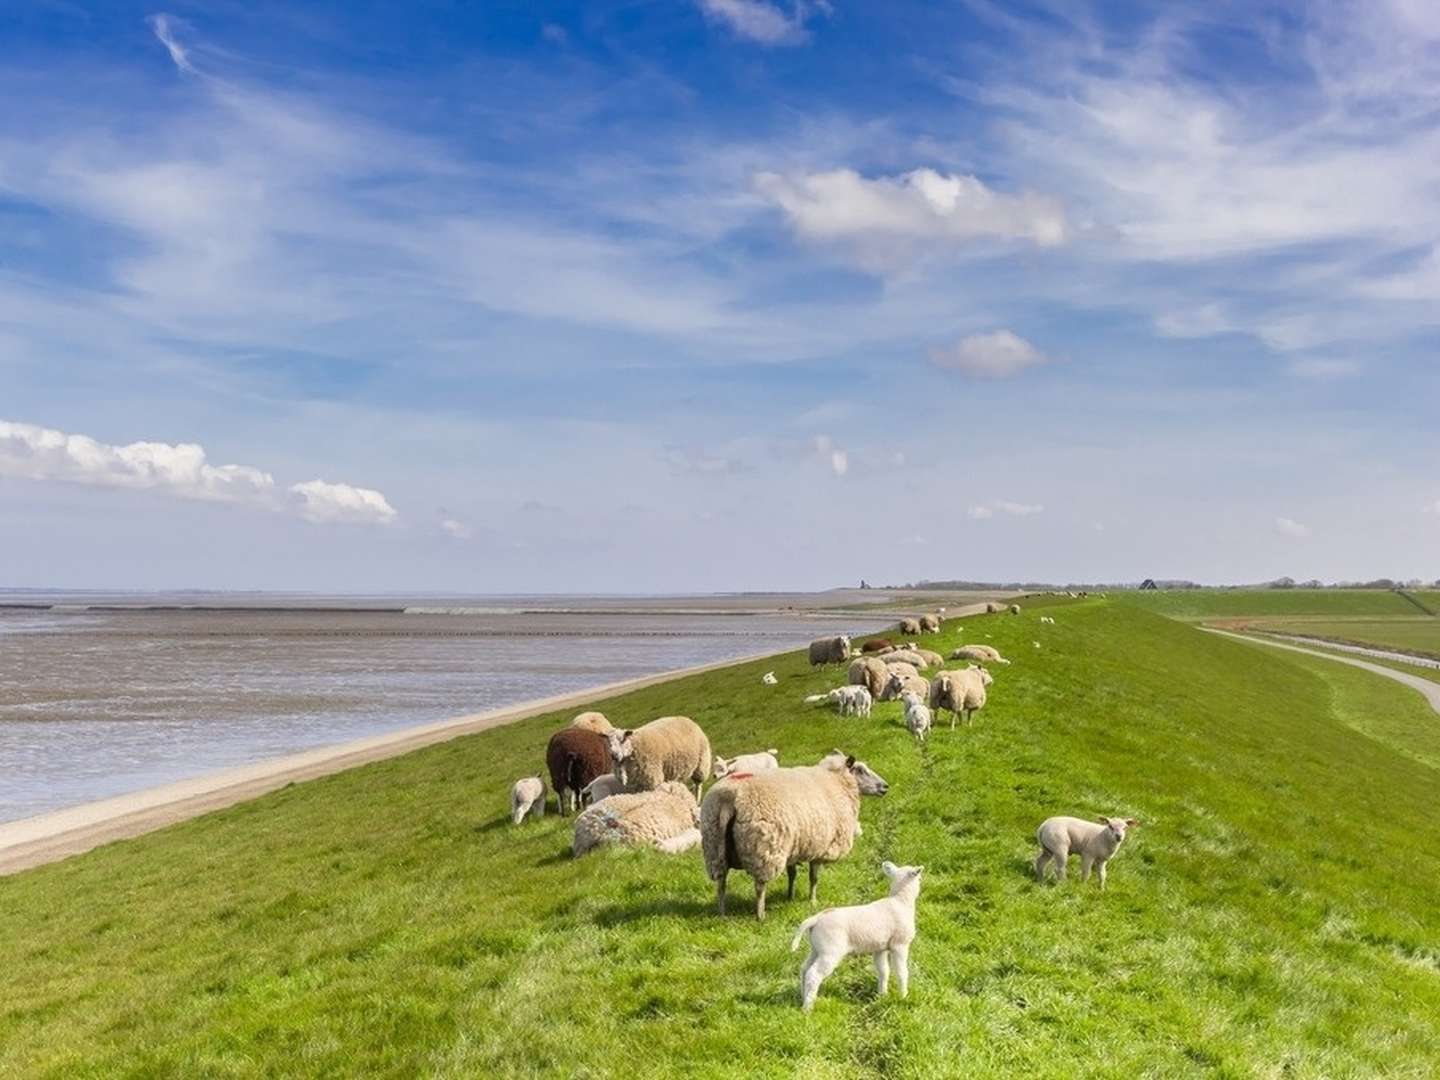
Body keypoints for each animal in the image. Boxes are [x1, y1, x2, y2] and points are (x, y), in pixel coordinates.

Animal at [699, 754, 887, 921]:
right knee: (759, 886)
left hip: (714, 844)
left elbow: (792, 874)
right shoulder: (820, 848)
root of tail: (728, 796)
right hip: (764, 848)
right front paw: (812, 901)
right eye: (861, 770)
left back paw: (722, 914)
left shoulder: (794, 846)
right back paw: (760, 915)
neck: (837, 782)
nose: (885, 787)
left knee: (721, 883)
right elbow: (813, 878)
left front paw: (790, 897)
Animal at [789, 864, 921, 1013]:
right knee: (813, 974)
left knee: (804, 969)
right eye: (919, 879)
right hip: (830, 950)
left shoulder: (880, 948)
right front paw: (903, 996)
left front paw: (882, 995)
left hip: (816, 948)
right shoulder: (900, 944)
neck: (901, 901)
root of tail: (816, 919)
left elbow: (883, 972)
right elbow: (901, 972)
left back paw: (802, 996)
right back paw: (807, 1008)